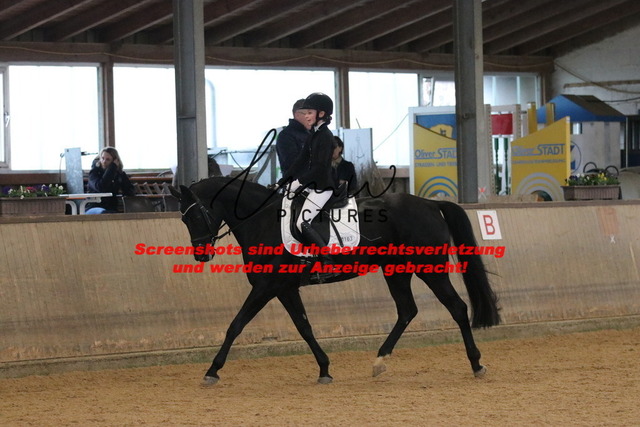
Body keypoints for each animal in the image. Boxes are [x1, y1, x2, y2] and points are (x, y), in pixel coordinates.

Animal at [169, 176, 500, 385]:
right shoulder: (285, 289)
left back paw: (477, 364)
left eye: (196, 215)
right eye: (183, 219)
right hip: (395, 270)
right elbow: (304, 327)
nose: (201, 254)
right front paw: (324, 369)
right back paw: (379, 362)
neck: (262, 221)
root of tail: (430, 204)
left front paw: (212, 370)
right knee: (407, 310)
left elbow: (235, 325)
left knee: (457, 307)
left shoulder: (266, 288)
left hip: (429, 268)